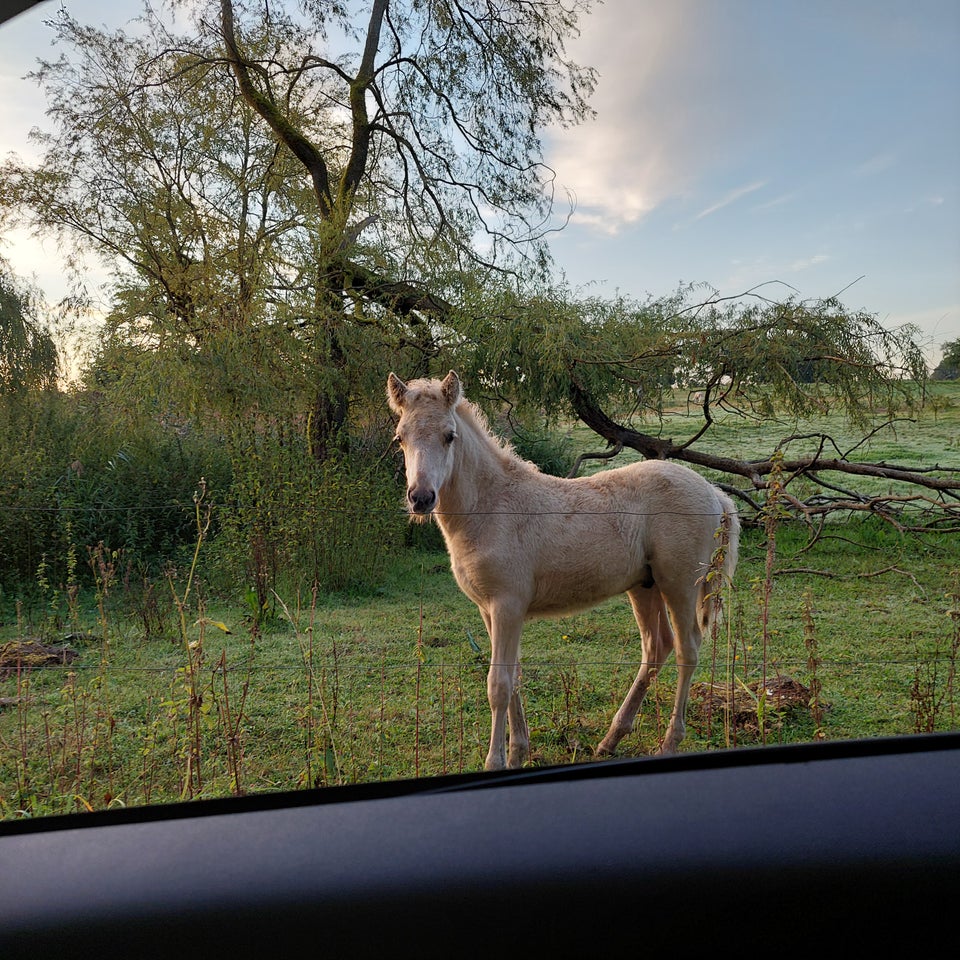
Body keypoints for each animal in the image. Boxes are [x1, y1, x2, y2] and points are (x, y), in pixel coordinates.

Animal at [386, 370, 740, 772]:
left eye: (449, 435)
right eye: (400, 437)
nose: (421, 498)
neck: (491, 508)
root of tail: (714, 492)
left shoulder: (507, 605)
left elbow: (498, 684)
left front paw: (496, 761)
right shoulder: (488, 610)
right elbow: (514, 674)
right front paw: (519, 751)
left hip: (679, 584)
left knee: (687, 649)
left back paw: (668, 742)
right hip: (643, 585)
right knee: (657, 645)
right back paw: (611, 739)